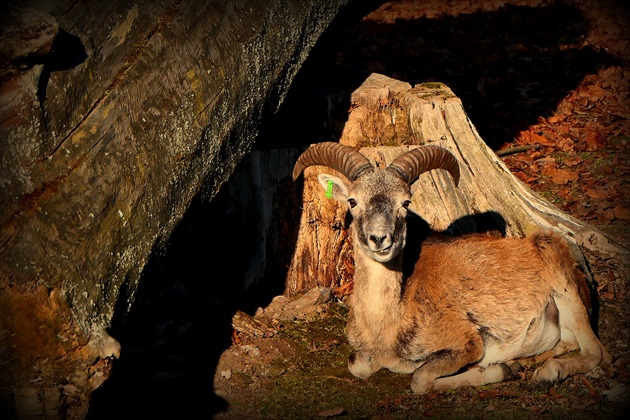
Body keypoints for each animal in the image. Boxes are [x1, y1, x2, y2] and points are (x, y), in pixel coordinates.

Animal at [296, 142, 612, 394]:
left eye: (405, 203)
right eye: (352, 201)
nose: (379, 239)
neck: (387, 323)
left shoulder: (467, 343)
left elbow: (420, 379)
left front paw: (498, 370)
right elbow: (357, 365)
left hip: (563, 283)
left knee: (596, 353)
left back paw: (545, 374)